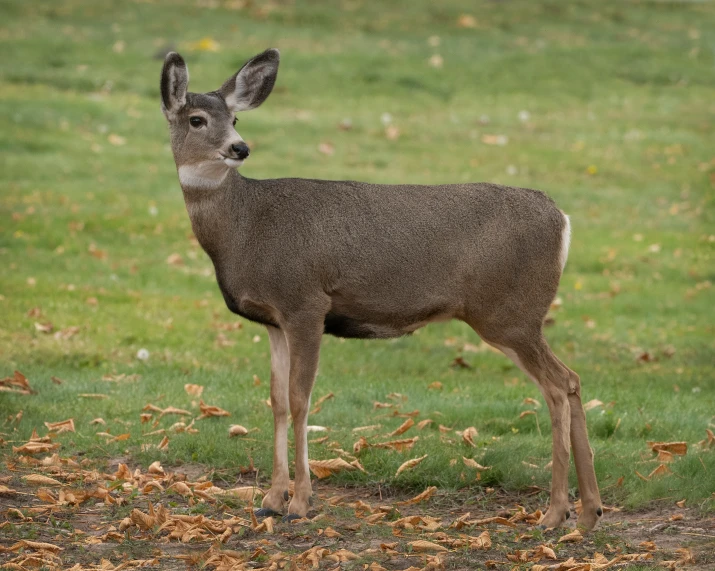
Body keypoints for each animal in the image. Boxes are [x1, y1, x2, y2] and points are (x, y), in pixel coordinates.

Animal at [162, 48, 604, 532]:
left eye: (236, 119)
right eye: (198, 119)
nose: (239, 148)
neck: (244, 228)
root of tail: (561, 218)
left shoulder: (306, 302)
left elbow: (300, 399)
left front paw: (300, 502)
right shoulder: (273, 320)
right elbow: (276, 400)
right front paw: (271, 499)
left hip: (510, 312)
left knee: (559, 385)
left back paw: (556, 512)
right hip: (517, 315)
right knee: (572, 380)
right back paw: (589, 511)